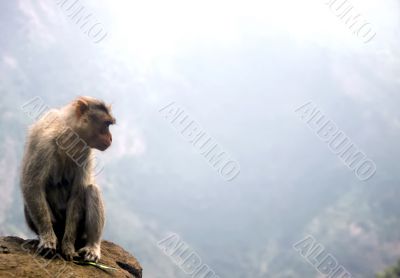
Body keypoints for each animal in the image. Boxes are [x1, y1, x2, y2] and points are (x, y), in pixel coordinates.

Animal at [20, 96, 115, 262]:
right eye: (106, 124)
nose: (111, 138)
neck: (68, 133)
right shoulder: (45, 144)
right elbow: (32, 186)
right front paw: (48, 238)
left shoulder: (85, 151)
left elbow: (77, 193)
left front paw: (68, 246)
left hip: (80, 232)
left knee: (91, 189)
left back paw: (92, 246)